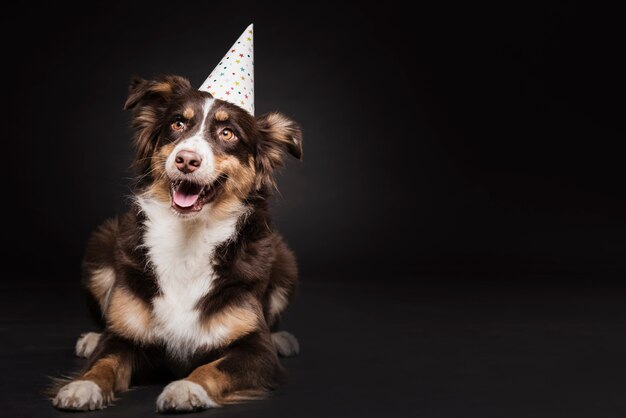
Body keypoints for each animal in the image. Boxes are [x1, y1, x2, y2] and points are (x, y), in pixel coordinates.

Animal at [51, 74, 300, 412]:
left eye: (228, 133)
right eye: (178, 124)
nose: (186, 160)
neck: (188, 238)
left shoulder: (258, 353)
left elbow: (214, 367)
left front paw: (186, 388)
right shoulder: (122, 339)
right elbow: (105, 360)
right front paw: (84, 385)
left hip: (286, 262)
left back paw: (282, 339)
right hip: (100, 247)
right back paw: (90, 339)